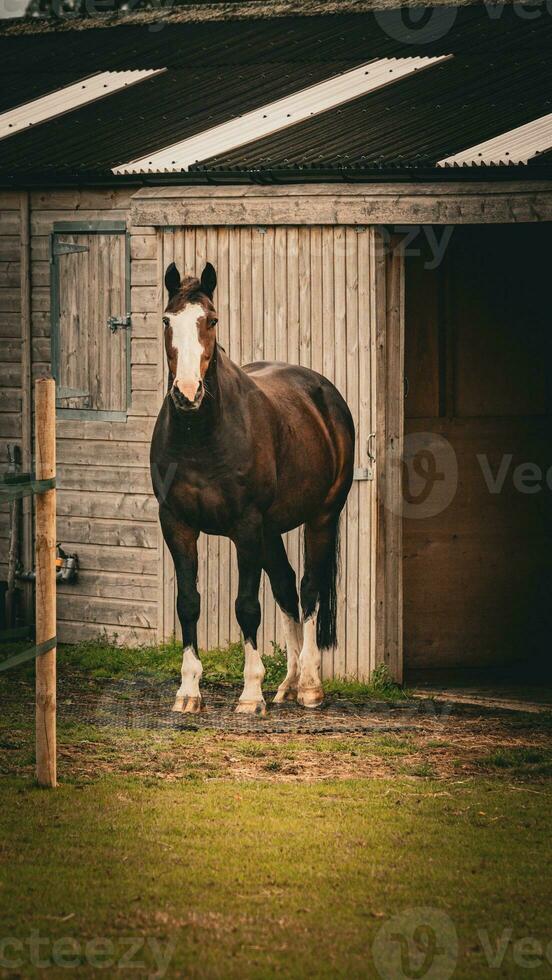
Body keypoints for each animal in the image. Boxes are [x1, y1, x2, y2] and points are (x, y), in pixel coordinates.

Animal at [150, 264, 354, 716]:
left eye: (211, 320)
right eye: (167, 321)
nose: (187, 393)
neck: (201, 436)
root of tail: (323, 392)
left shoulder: (245, 527)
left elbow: (247, 606)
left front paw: (250, 693)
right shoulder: (176, 524)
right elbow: (188, 602)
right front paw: (188, 691)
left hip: (321, 517)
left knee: (308, 590)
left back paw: (309, 686)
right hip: (271, 530)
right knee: (286, 587)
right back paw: (288, 685)